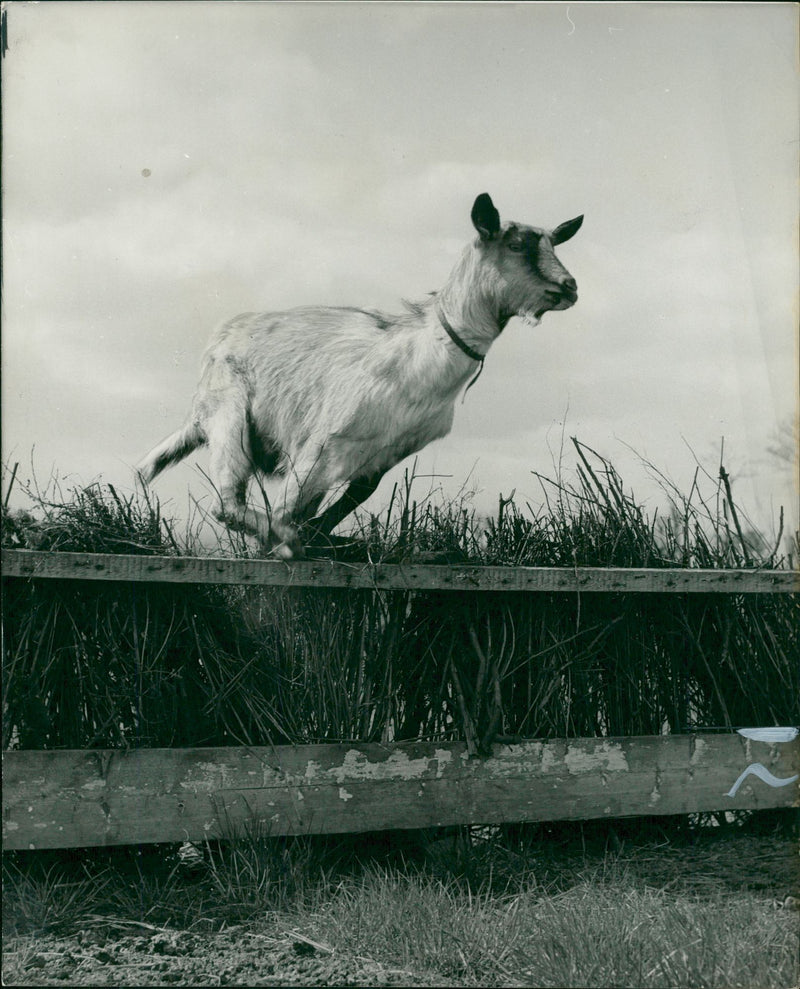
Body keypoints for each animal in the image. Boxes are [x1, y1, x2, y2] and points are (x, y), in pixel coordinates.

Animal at [136, 193, 580, 556]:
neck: (420, 355)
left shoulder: (382, 455)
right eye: (517, 245)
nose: (571, 286)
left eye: (553, 243)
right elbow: (283, 513)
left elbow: (343, 503)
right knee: (226, 503)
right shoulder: (320, 443)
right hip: (228, 415)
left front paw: (324, 538)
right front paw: (288, 545)